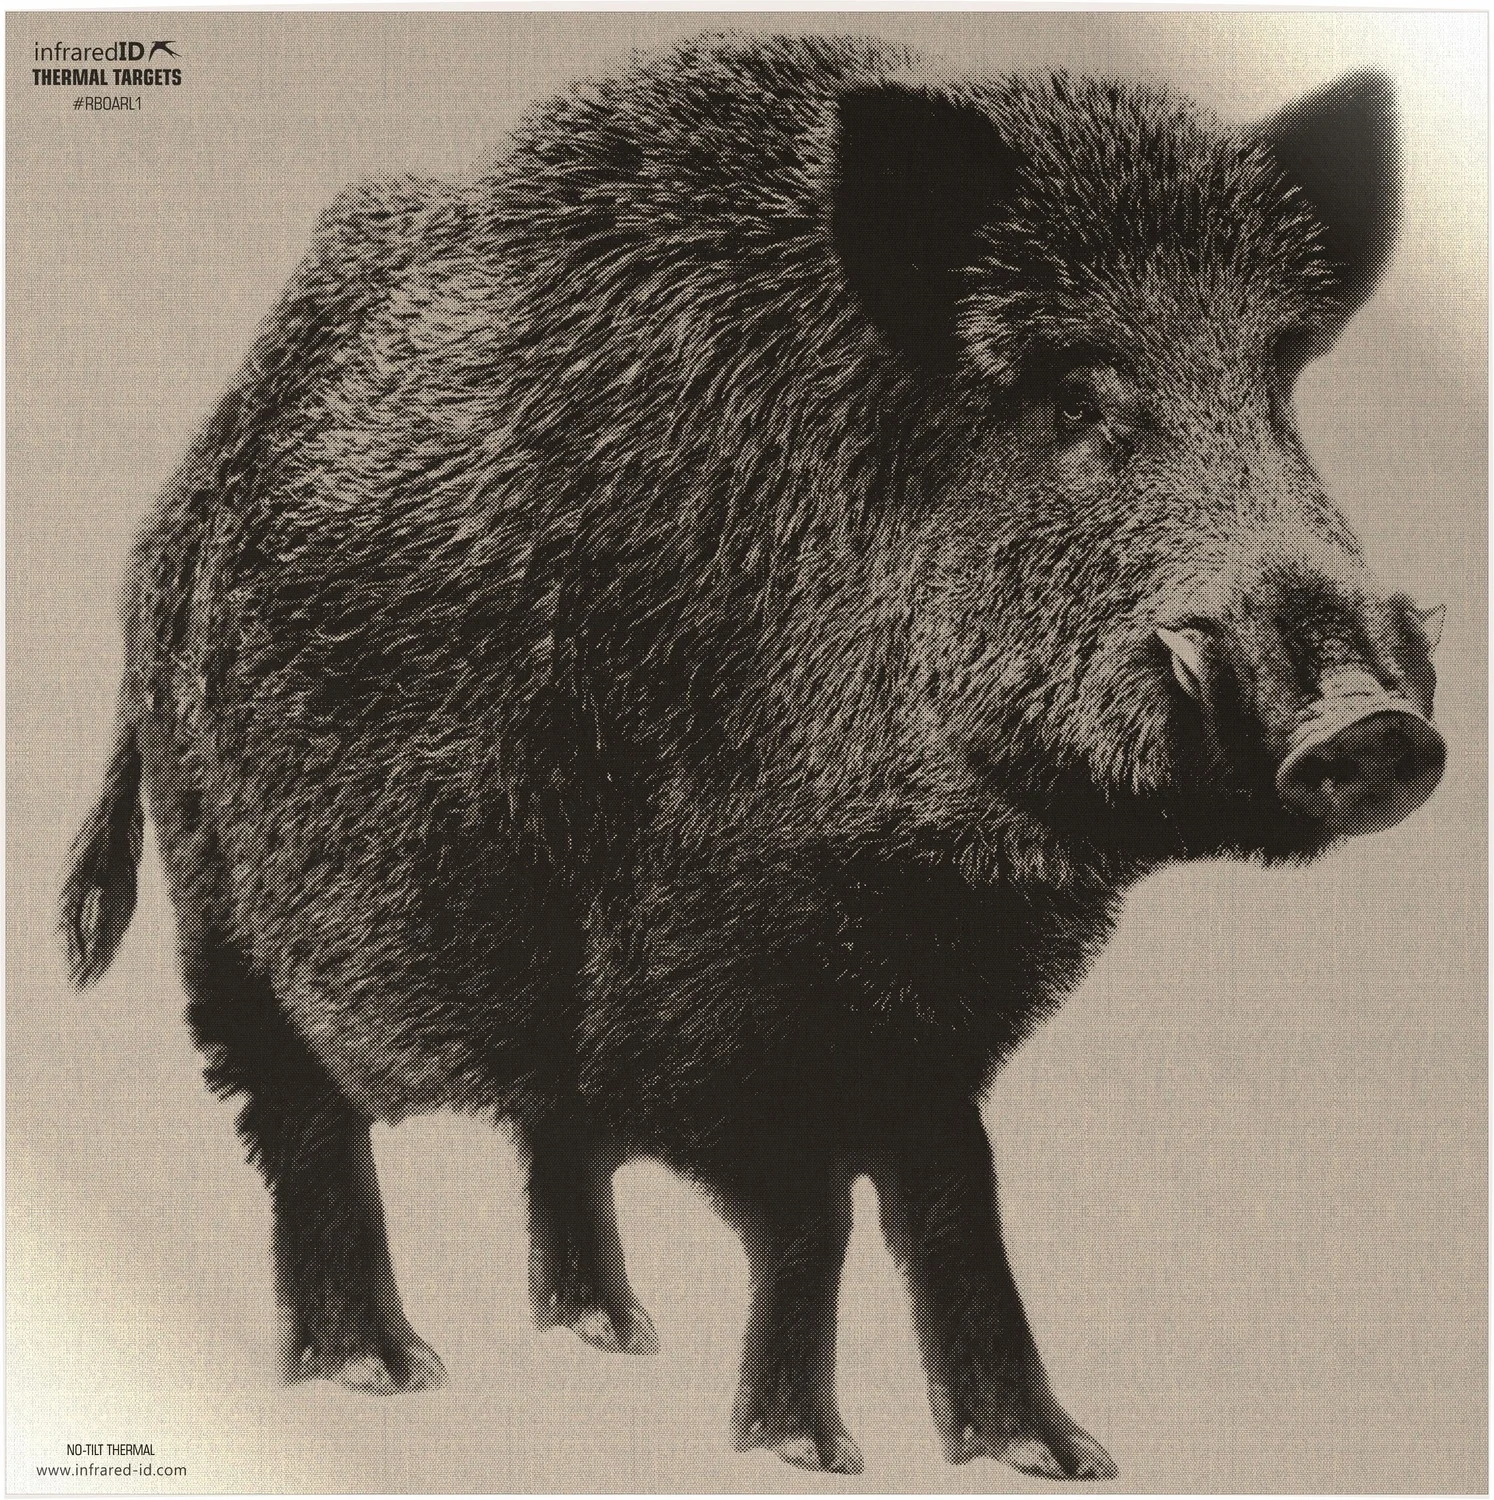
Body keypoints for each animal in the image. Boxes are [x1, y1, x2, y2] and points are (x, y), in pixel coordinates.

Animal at [60, 34, 1445, 1481]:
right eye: (1075, 395)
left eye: (1277, 387)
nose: (1369, 726)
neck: (925, 865)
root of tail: (169, 521)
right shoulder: (716, 988)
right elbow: (811, 1213)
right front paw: (806, 1453)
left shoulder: (931, 1012)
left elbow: (952, 1194)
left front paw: (1054, 1458)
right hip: (221, 889)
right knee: (298, 1120)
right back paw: (382, 1373)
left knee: (548, 1135)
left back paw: (611, 1334)